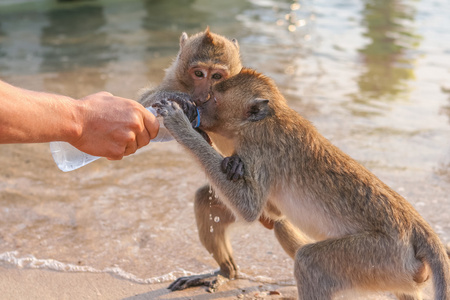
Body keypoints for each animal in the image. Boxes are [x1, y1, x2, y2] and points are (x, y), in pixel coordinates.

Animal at [138, 28, 306, 290]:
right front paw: (178, 100)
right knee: (204, 201)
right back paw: (225, 271)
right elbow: (144, 104)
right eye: (198, 73)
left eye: (216, 76)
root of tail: (267, 217)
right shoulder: (173, 79)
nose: (204, 95)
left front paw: (236, 161)